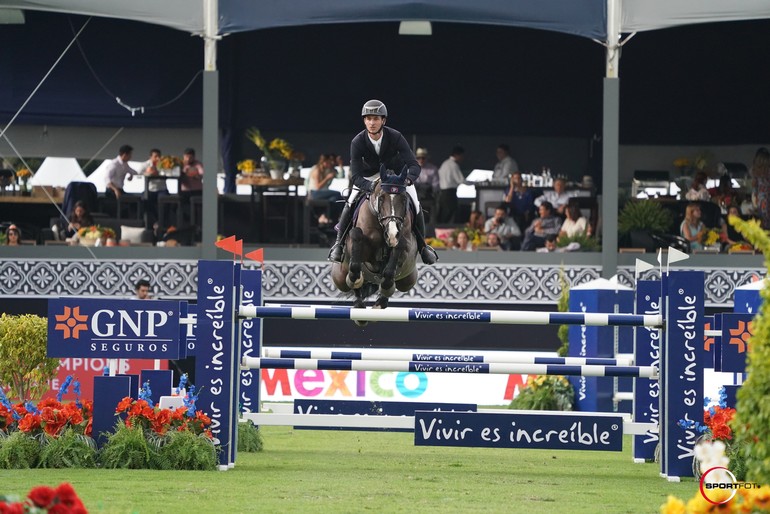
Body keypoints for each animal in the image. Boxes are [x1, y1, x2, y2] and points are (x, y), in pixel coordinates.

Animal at [328, 164, 416, 320]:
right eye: (381, 198)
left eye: (404, 199)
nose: (392, 234)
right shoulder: (360, 249)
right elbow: (356, 242)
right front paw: (355, 280)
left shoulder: (405, 248)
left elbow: (393, 264)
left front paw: (386, 288)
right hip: (339, 277)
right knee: (351, 282)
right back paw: (359, 308)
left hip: (408, 280)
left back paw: (380, 302)